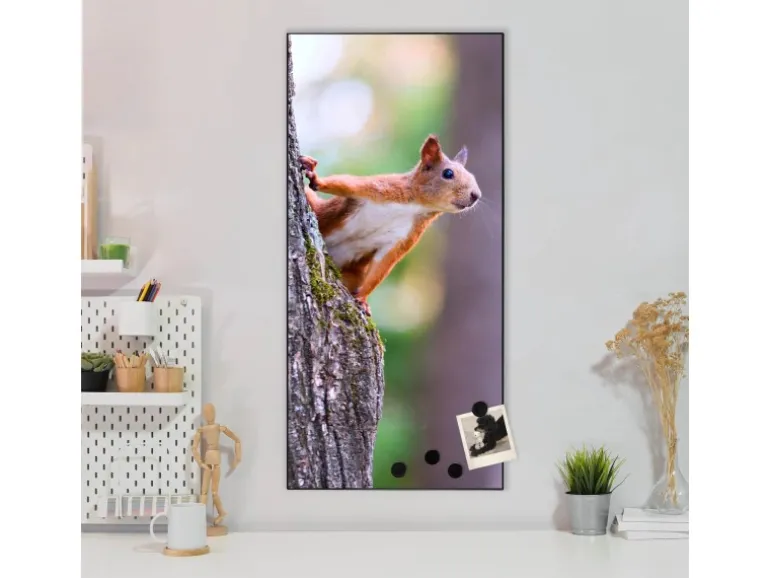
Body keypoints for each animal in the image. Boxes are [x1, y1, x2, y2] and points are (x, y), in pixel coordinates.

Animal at [299, 134, 481, 316]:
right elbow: (347, 184)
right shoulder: (382, 188)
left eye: (472, 176)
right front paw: (316, 179)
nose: (476, 195)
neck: (417, 206)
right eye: (448, 173)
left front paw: (363, 299)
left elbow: (383, 264)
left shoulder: (405, 236)